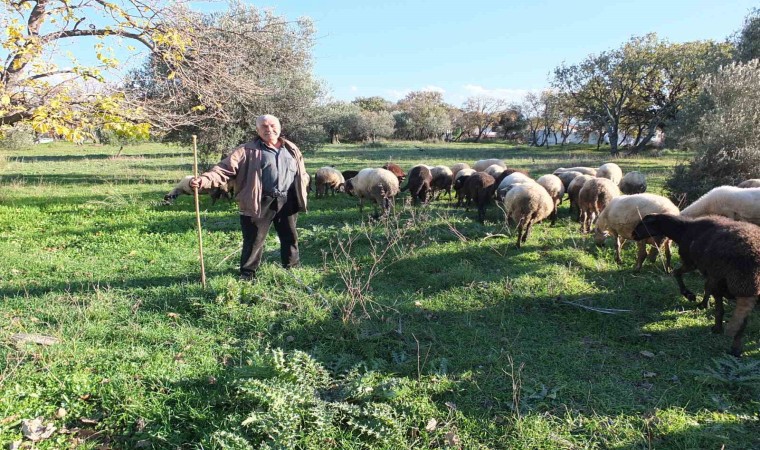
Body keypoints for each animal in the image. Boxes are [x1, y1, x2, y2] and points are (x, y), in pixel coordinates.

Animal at [628, 213, 760, 356]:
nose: (633, 234)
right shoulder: (706, 270)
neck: (683, 229)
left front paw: (689, 295)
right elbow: (706, 287)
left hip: (735, 283)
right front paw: (703, 304)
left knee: (736, 317)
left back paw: (726, 338)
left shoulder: (691, 263)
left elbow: (676, 273)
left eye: (643, 223)